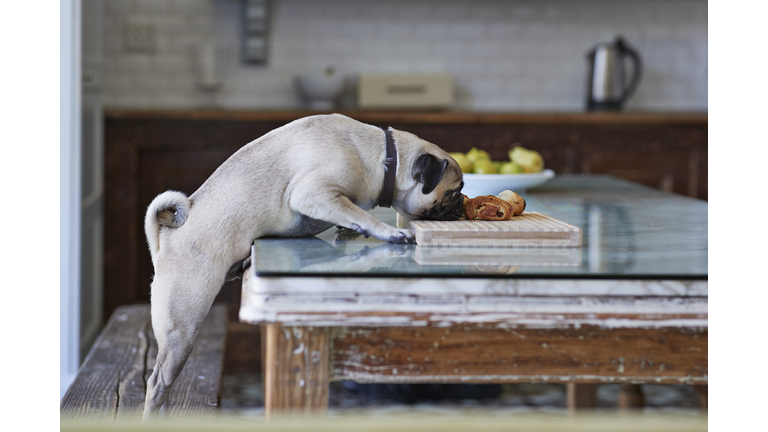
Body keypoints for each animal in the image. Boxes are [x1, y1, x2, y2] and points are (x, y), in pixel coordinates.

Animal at [142, 112, 464, 418]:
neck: (385, 160)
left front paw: (349, 231)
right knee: (158, 382)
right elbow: (360, 213)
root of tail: (164, 239)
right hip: (183, 329)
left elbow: (351, 215)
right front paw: (388, 232)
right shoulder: (315, 194)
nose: (462, 204)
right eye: (453, 191)